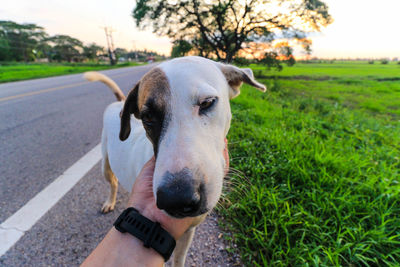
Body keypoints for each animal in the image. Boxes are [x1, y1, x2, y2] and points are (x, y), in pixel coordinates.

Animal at [84, 56, 266, 266]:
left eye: (207, 102)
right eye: (147, 117)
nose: (177, 198)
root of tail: (119, 103)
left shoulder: (188, 231)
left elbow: (179, 258)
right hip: (105, 163)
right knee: (112, 182)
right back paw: (110, 201)